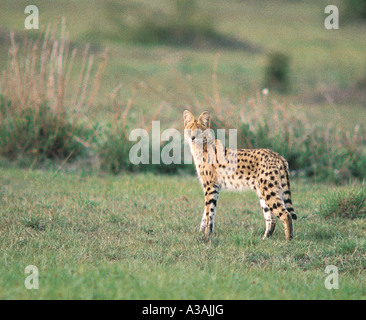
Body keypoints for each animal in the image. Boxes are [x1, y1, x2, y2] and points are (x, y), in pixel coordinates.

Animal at [183, 110, 298, 240]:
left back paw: (288, 240)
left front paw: (207, 235)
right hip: (264, 192)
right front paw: (205, 231)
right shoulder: (215, 187)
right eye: (189, 130)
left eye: (199, 131)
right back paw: (265, 239)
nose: (192, 138)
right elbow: (208, 212)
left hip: (269, 191)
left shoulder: (210, 186)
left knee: (285, 214)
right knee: (271, 219)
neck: (202, 146)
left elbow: (209, 212)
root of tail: (277, 155)